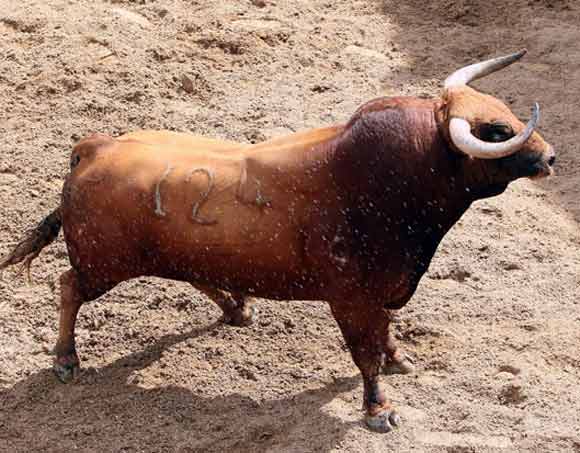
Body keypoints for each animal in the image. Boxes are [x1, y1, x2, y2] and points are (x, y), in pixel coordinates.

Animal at [0, 49, 556, 430]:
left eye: (503, 110)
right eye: (494, 130)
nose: (550, 157)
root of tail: (95, 147)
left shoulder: (384, 289)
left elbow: (385, 335)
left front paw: (400, 359)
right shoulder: (350, 298)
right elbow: (364, 354)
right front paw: (379, 409)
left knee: (194, 274)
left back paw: (236, 308)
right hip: (102, 265)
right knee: (69, 288)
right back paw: (66, 360)